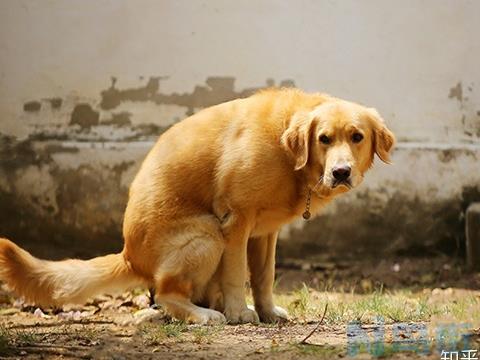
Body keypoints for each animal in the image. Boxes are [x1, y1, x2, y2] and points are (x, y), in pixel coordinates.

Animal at [0, 88, 394, 324]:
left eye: (357, 137)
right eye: (324, 139)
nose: (341, 172)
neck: (288, 153)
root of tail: (128, 255)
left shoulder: (265, 233)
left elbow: (263, 277)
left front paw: (266, 312)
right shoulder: (235, 221)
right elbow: (237, 275)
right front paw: (240, 312)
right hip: (207, 234)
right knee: (167, 294)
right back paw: (205, 315)